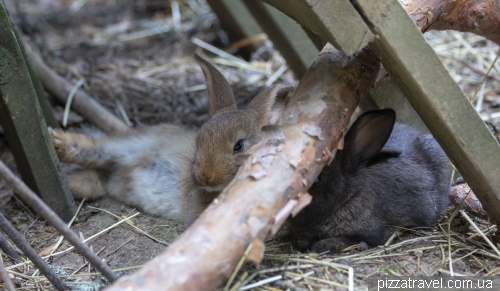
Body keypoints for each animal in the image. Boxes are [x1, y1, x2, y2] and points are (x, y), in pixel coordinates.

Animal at [49, 56, 292, 227]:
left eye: (239, 146)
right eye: (199, 139)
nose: (205, 175)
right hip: (126, 147)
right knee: (94, 148)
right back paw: (56, 142)